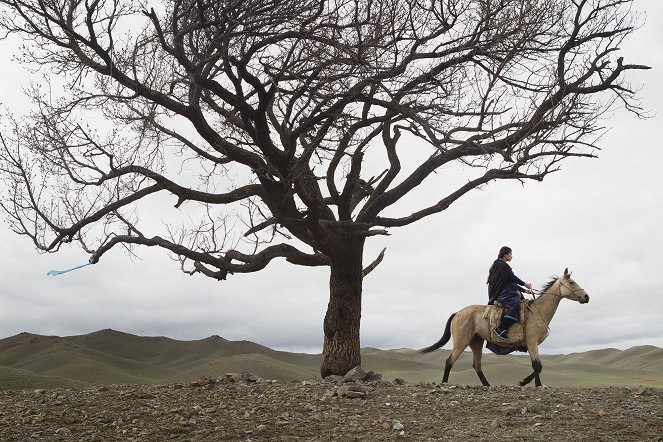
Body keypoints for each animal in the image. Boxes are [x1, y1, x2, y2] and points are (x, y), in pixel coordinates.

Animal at [422, 268, 588, 386]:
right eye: (572, 282)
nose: (586, 297)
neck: (538, 311)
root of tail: (458, 313)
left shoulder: (532, 344)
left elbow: (539, 366)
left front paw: (522, 382)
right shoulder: (532, 342)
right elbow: (536, 366)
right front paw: (537, 385)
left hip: (476, 341)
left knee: (477, 365)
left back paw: (487, 385)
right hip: (461, 341)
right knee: (449, 361)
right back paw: (444, 384)